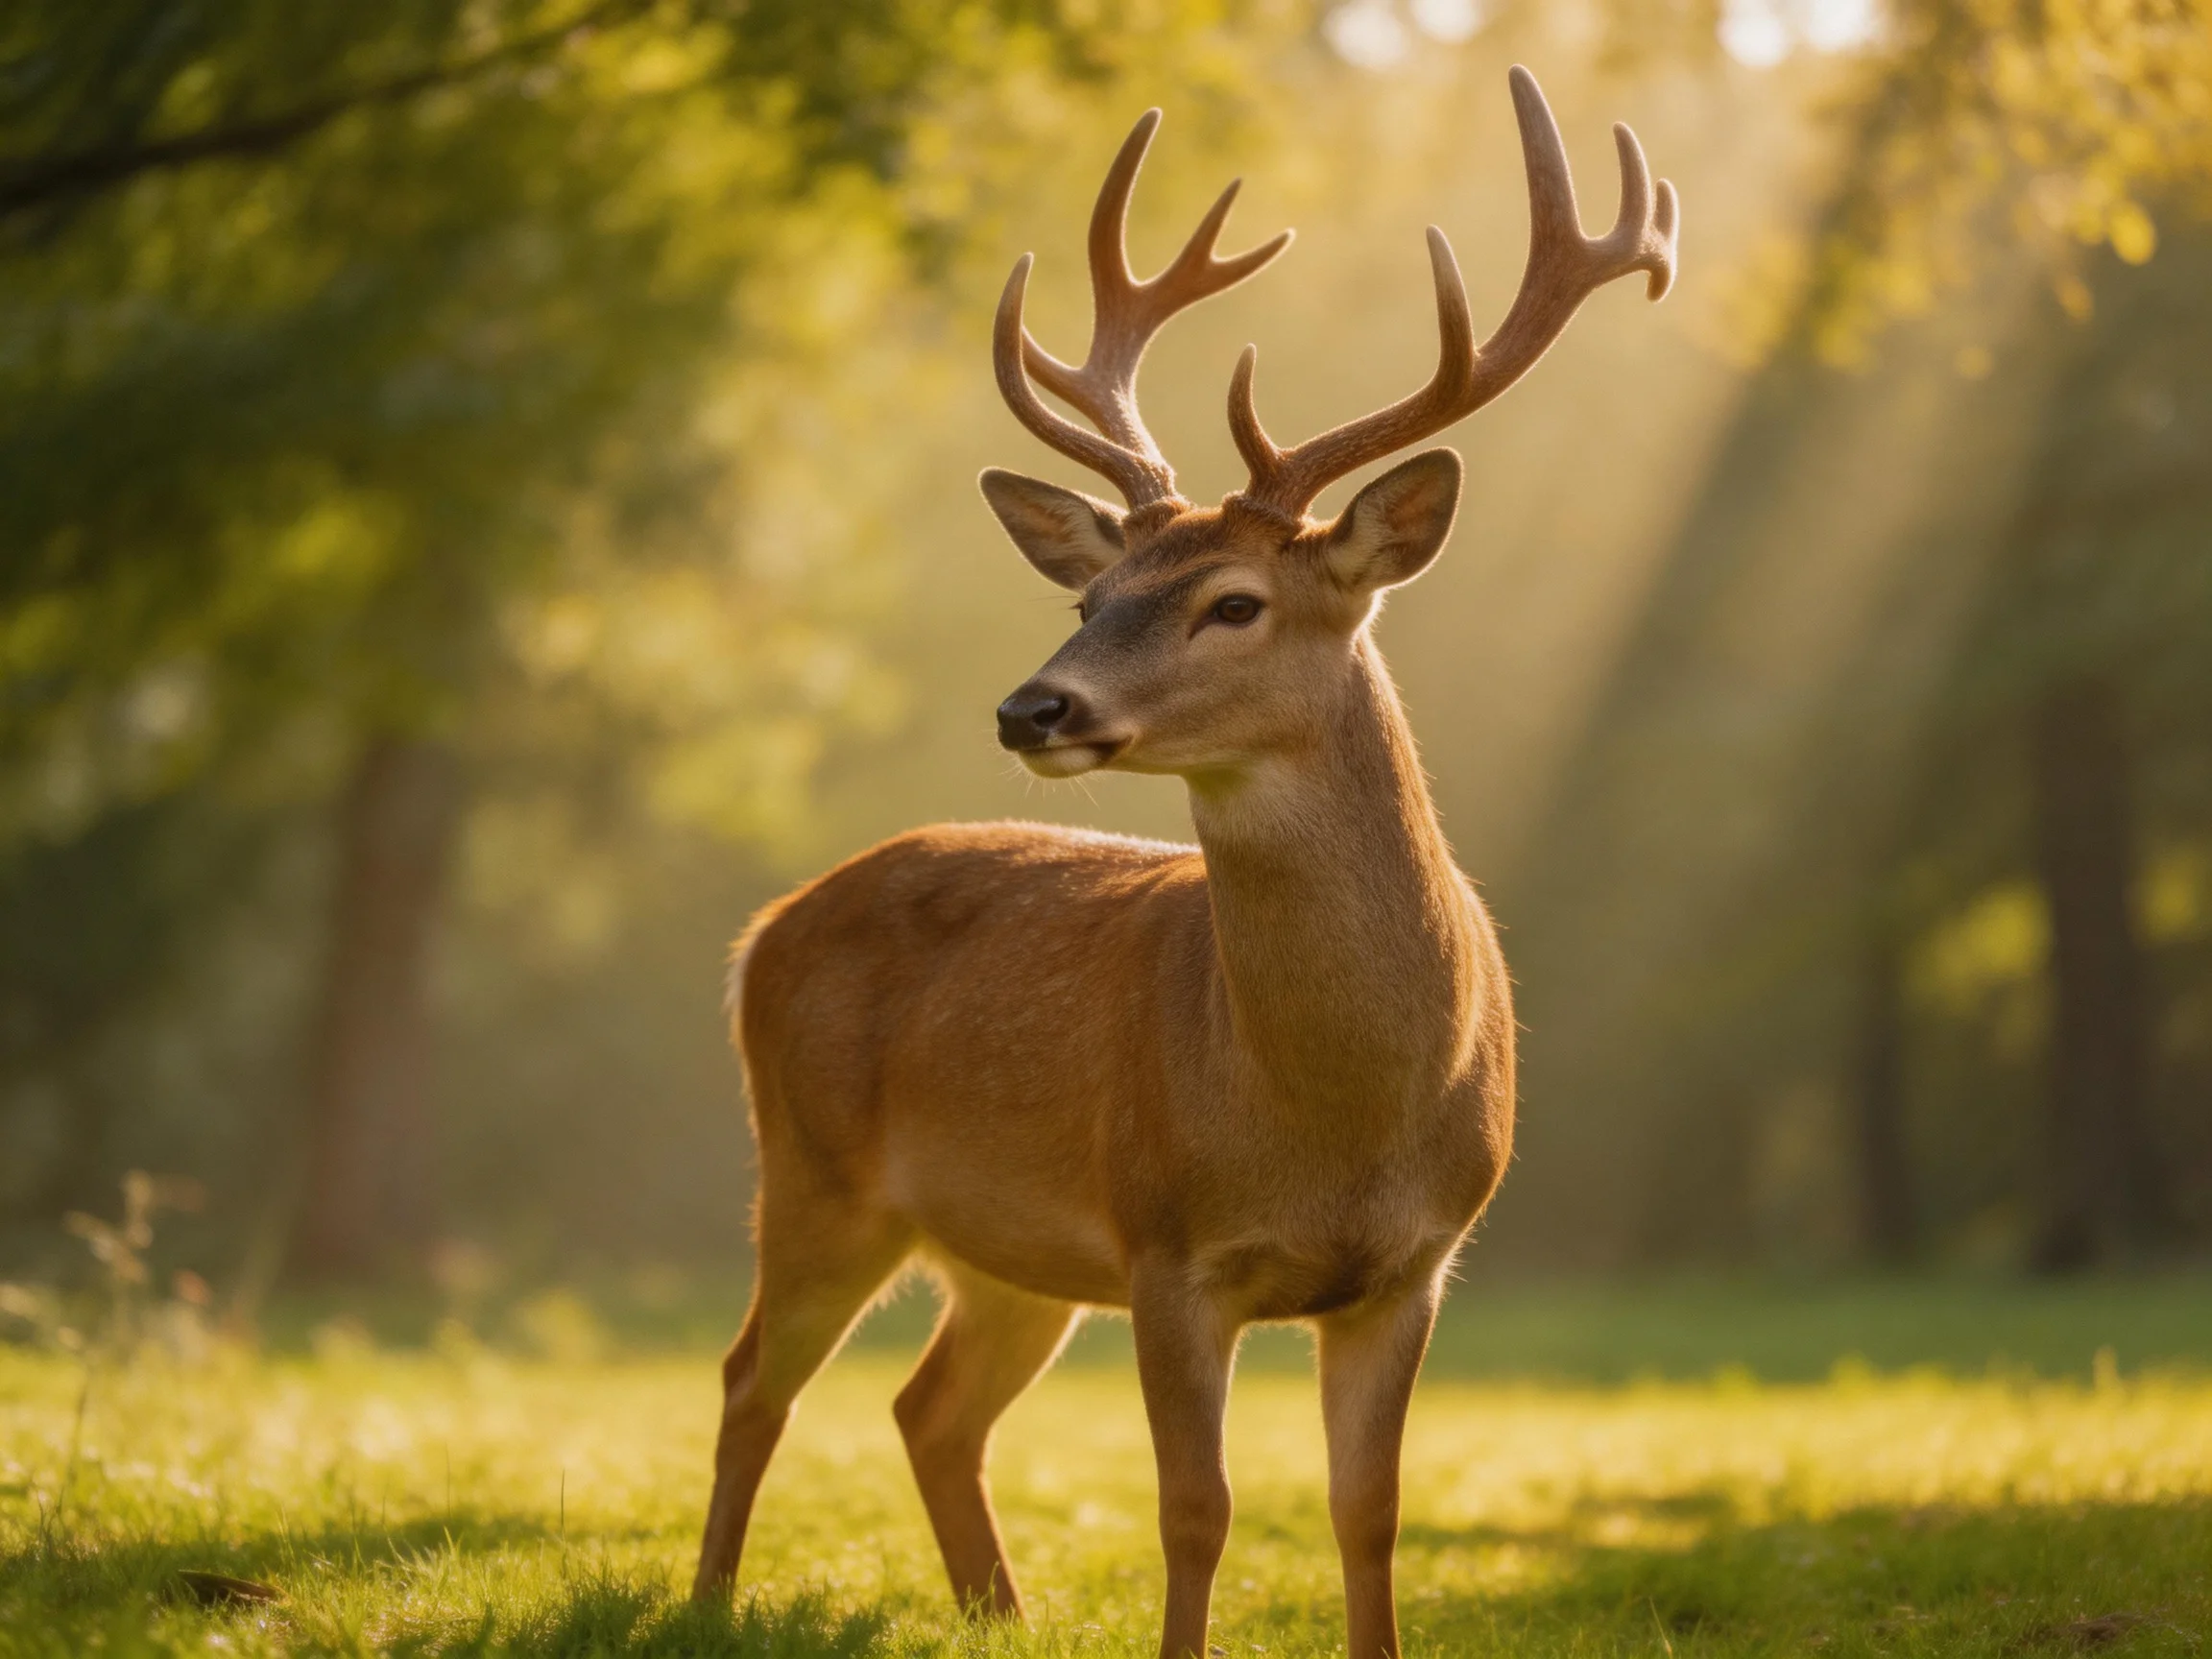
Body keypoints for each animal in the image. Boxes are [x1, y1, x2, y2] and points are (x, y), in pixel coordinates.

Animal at [692, 66, 1676, 1659]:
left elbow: (1368, 1513)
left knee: (928, 1408)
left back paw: (998, 1616)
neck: (1330, 1115)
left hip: (1006, 1249)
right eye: (1091, 597)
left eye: (1233, 602)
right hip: (817, 1167)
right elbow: (1196, 1510)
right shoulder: (1167, 1245)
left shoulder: (1415, 1265)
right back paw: (709, 1601)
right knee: (752, 1380)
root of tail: (764, 929)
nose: (1033, 707)